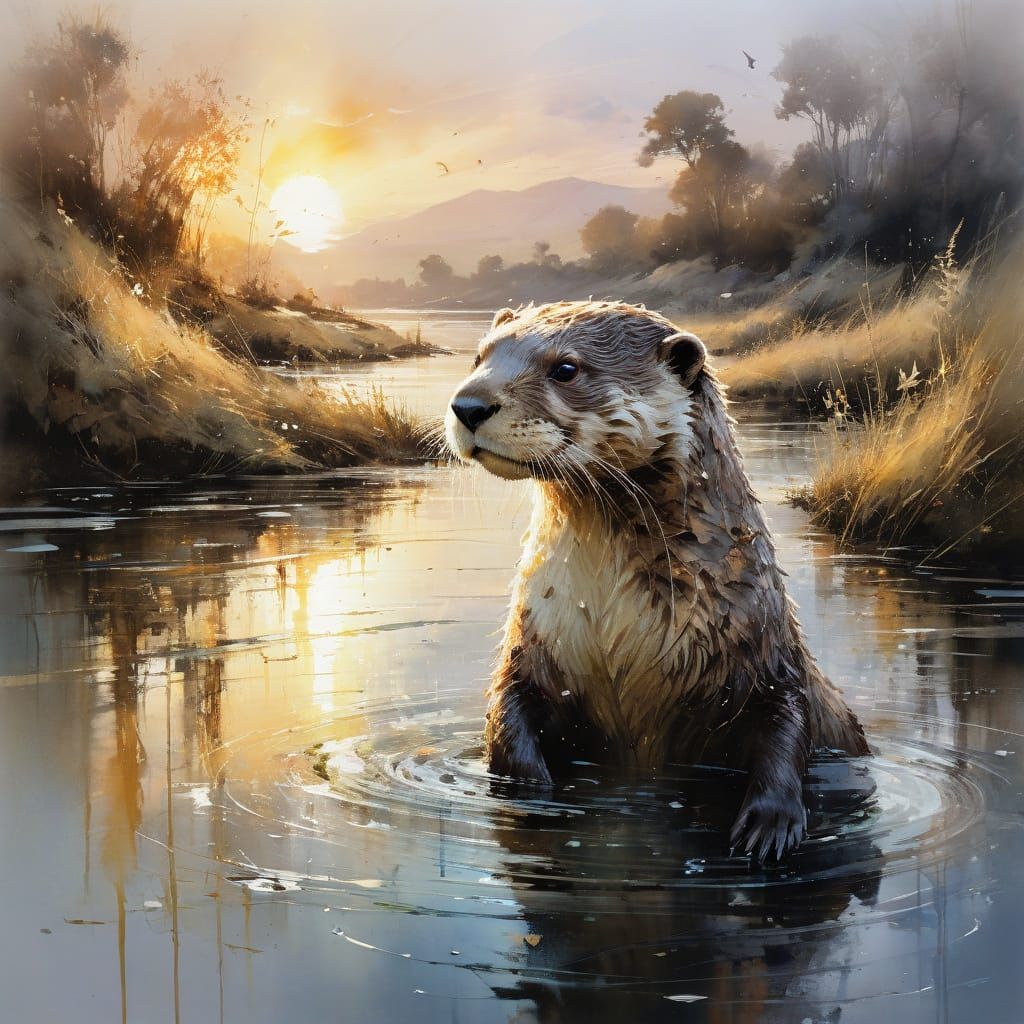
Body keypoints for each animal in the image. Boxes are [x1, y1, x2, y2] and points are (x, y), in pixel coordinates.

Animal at [444, 301, 868, 861]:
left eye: (566, 368)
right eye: (480, 356)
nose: (468, 405)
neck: (617, 629)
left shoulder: (766, 655)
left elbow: (787, 723)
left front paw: (769, 825)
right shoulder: (531, 646)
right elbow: (505, 710)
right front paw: (530, 792)